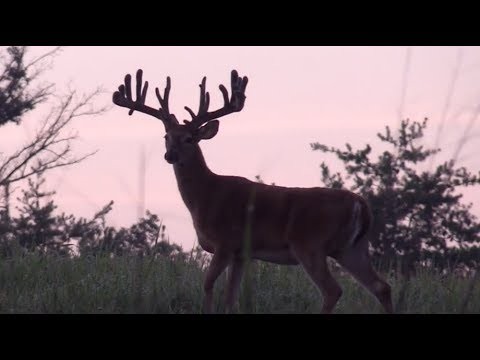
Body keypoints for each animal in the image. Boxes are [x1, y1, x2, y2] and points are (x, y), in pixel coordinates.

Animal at [113, 69, 394, 314]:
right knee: (382, 286)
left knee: (333, 290)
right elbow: (231, 298)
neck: (205, 196)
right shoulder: (241, 254)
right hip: (352, 248)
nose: (170, 155)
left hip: (310, 244)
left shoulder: (225, 242)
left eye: (189, 139)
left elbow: (208, 285)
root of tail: (360, 204)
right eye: (166, 137)